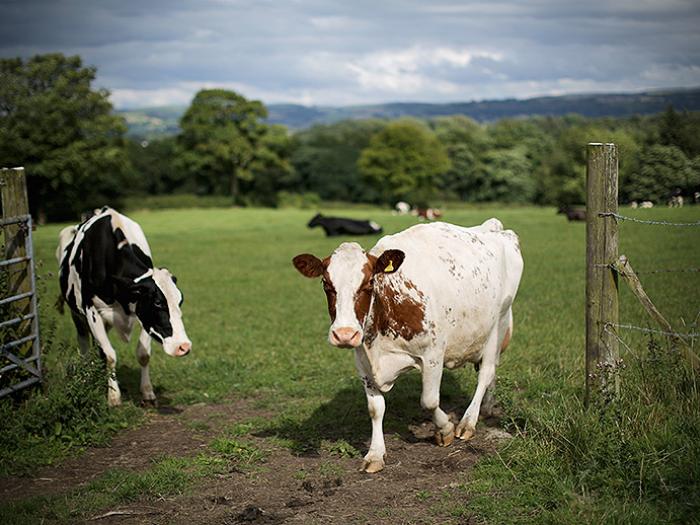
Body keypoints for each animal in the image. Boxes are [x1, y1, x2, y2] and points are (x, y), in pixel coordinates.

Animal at [56, 207, 191, 408]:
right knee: (84, 344)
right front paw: (113, 397)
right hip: (76, 314)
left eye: (180, 301)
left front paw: (147, 393)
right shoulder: (91, 311)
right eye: (157, 302)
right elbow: (110, 355)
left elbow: (143, 354)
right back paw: (87, 377)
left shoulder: (143, 315)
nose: (183, 346)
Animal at [292, 219, 524, 472]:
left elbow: (429, 400)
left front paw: (445, 429)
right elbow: (375, 409)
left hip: (498, 323)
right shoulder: (363, 360)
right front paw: (375, 454)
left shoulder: (433, 354)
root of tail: (492, 227)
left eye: (369, 282)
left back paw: (468, 422)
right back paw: (487, 407)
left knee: (486, 372)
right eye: (326, 283)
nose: (344, 334)